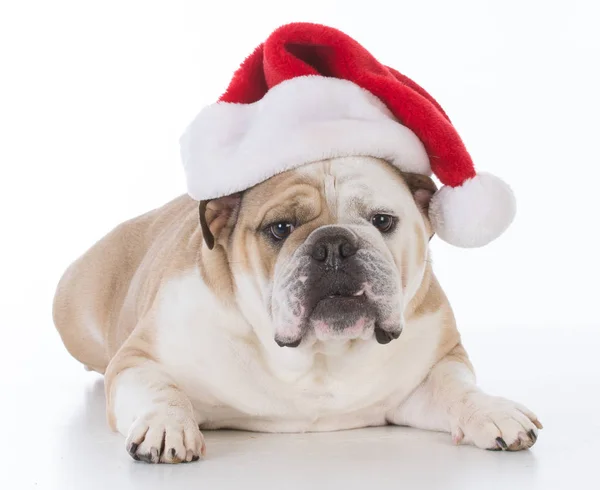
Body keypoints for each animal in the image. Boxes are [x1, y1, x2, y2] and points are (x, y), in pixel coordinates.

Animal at [54, 157, 540, 464]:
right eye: (280, 228)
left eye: (383, 221)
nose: (334, 244)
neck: (320, 356)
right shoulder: (140, 358)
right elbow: (160, 390)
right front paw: (166, 425)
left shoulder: (431, 368)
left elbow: (457, 388)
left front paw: (493, 411)